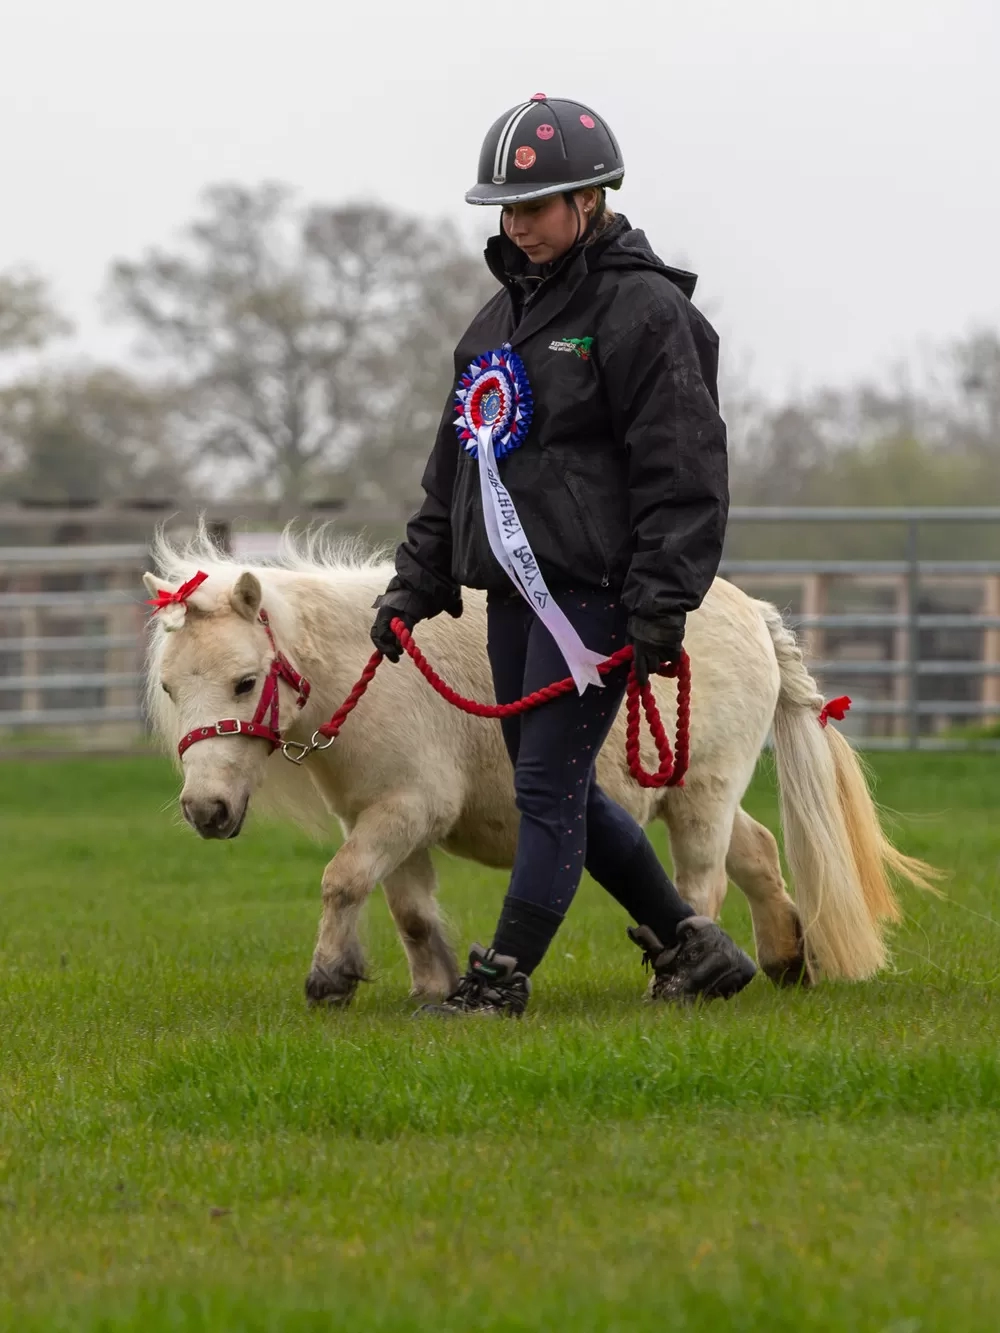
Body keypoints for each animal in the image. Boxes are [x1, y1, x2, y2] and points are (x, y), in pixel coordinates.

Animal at [144, 528, 934, 1007]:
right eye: (171, 688)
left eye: (245, 681)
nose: (206, 811)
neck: (365, 675)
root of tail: (755, 613)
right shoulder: (382, 815)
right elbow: (407, 909)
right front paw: (431, 986)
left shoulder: (408, 808)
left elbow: (342, 882)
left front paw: (330, 978)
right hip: (690, 788)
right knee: (760, 854)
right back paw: (783, 958)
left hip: (702, 795)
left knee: (702, 881)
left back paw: (684, 982)